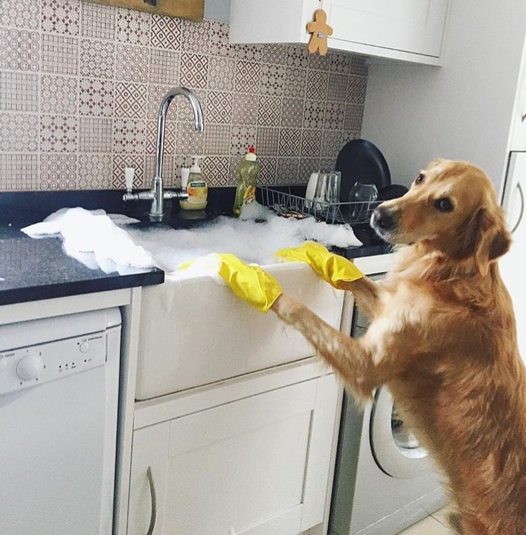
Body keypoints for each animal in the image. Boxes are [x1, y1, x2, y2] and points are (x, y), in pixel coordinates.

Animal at [270, 160, 526, 535]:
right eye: (420, 179)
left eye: (444, 204)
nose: (380, 213)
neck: (447, 273)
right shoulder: (384, 306)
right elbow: (354, 278)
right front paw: (319, 255)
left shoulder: (365, 365)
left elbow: (301, 311)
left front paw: (260, 284)